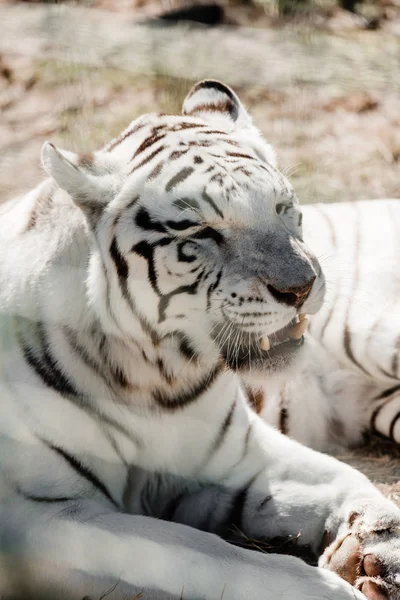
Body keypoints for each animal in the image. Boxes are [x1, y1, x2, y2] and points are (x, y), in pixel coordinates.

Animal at [0, 81, 400, 600]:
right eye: (204, 232)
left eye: (282, 208)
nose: (302, 286)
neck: (157, 381)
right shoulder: (47, 515)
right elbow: (211, 557)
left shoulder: (241, 458)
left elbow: (342, 476)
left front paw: (377, 545)